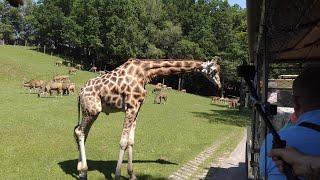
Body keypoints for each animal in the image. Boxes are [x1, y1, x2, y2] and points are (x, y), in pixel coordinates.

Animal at [74, 58, 221, 179]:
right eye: (214, 70)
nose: (219, 86)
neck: (145, 73)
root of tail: (80, 93)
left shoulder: (138, 107)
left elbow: (131, 141)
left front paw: (132, 174)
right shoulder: (131, 106)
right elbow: (123, 142)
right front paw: (117, 175)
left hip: (91, 112)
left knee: (81, 132)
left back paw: (80, 170)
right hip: (92, 110)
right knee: (80, 132)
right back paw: (84, 172)